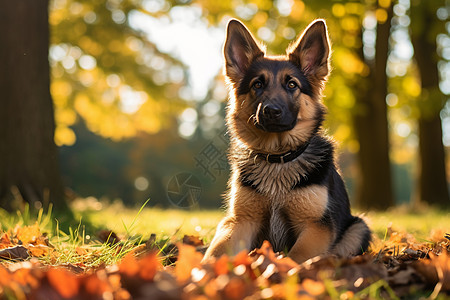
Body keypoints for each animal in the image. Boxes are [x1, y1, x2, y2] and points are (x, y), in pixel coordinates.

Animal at [202, 19, 370, 262]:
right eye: (257, 85)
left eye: (292, 85)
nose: (271, 111)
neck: (277, 158)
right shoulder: (240, 221)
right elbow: (217, 252)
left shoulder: (315, 226)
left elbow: (297, 256)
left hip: (359, 227)